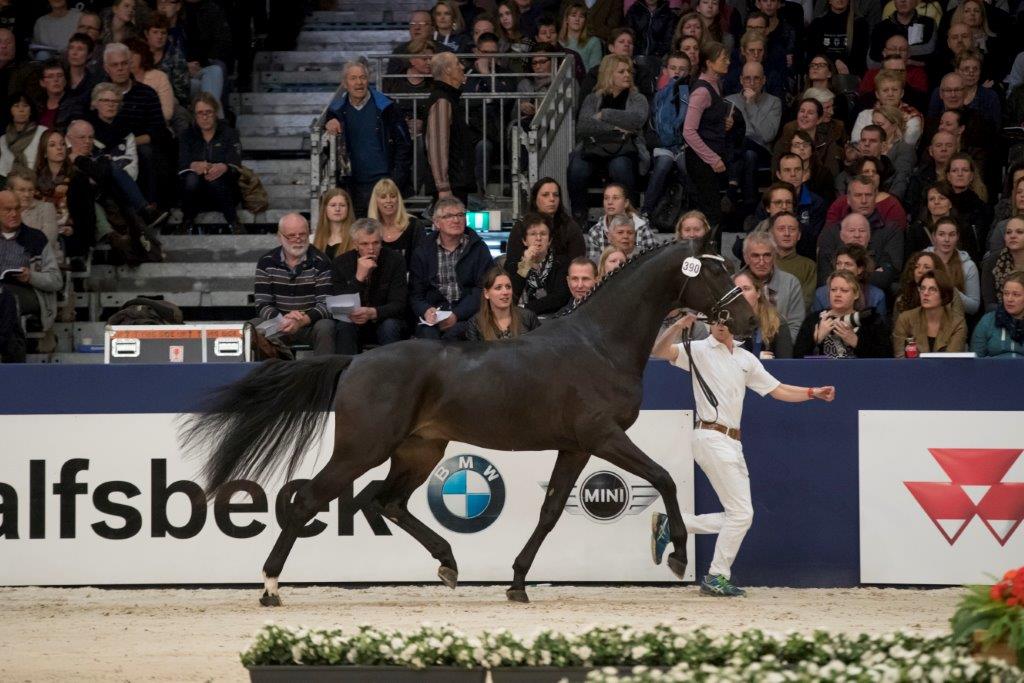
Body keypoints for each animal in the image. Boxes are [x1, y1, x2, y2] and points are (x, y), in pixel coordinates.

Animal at [182, 239, 753, 602]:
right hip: (361, 450)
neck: (598, 344)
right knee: (311, 501)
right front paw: (675, 556)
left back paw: (449, 563)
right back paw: (270, 587)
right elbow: (664, 478)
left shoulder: (575, 446)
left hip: (418, 452)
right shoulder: (603, 436)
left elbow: (550, 511)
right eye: (717, 271)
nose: (747, 319)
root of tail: (356, 361)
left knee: (383, 501)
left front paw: (517, 583)